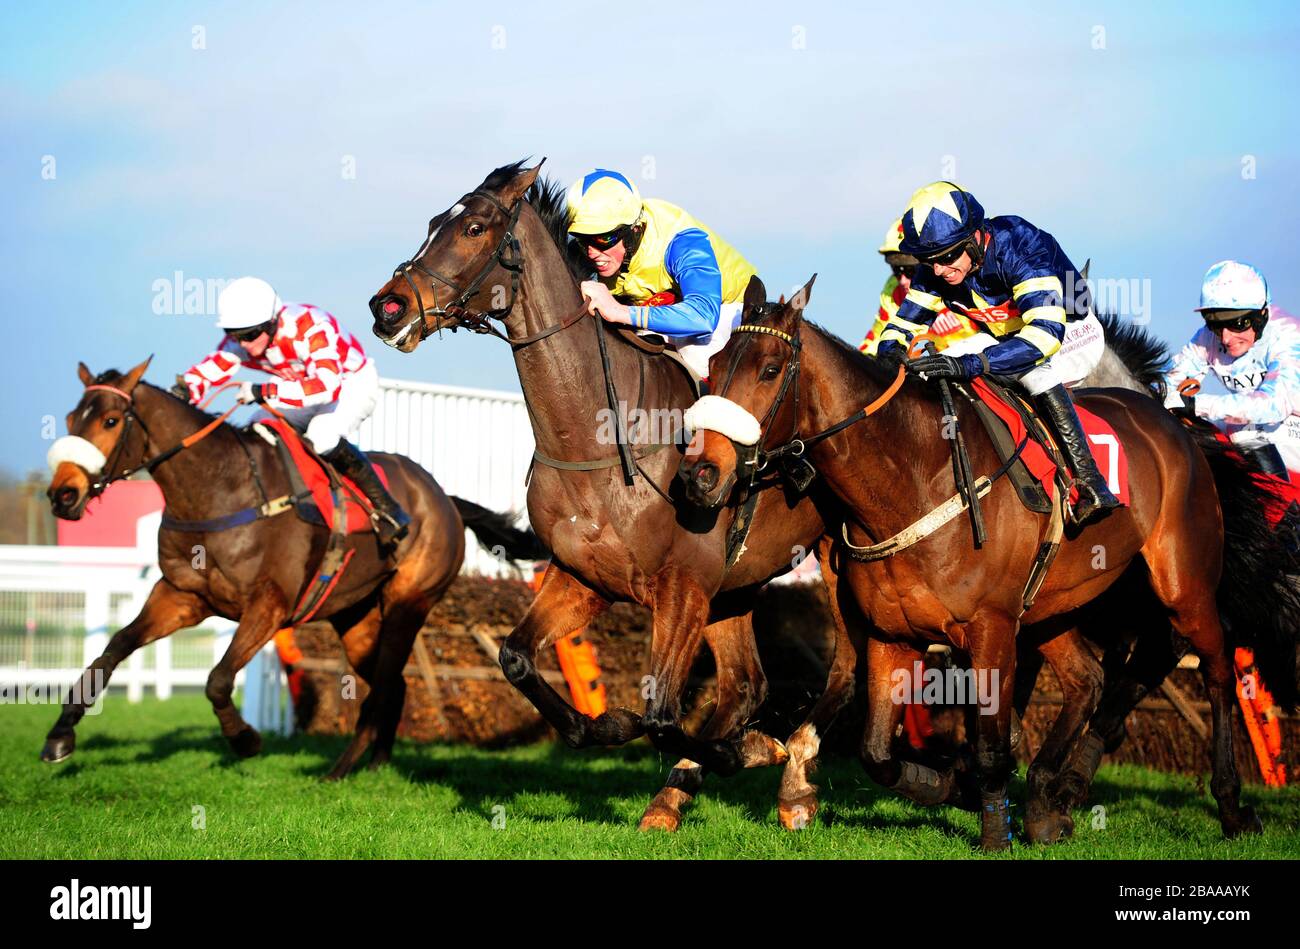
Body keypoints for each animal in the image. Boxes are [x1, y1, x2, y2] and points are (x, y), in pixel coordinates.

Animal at [40, 356, 538, 774]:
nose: (63, 495)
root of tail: (445, 499)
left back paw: (341, 770)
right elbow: (112, 649)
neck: (221, 489)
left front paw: (244, 740)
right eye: (70, 420)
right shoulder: (182, 597)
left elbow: (217, 679)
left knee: (385, 684)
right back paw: (372, 765)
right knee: (393, 685)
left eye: (110, 420)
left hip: (408, 602)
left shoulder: (269, 606)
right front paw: (60, 736)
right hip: (355, 617)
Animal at [366, 159, 857, 826]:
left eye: (472, 228)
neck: (598, 439)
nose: (387, 307)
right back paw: (677, 796)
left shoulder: (682, 588)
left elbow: (660, 714)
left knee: (844, 671)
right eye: (433, 223)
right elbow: (519, 660)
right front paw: (625, 730)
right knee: (744, 684)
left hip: (840, 562)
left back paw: (793, 783)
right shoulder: (585, 578)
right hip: (735, 586)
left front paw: (751, 749)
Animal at [681, 276, 1300, 847]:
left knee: (1215, 668)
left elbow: (991, 744)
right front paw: (950, 788)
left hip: (1183, 583)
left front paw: (991, 826)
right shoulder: (893, 634)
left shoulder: (991, 628)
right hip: (1058, 604)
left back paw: (1231, 805)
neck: (913, 477)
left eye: (769, 369)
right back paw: (1052, 798)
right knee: (1091, 679)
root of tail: (1176, 425)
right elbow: (878, 753)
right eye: (715, 363)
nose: (701, 473)